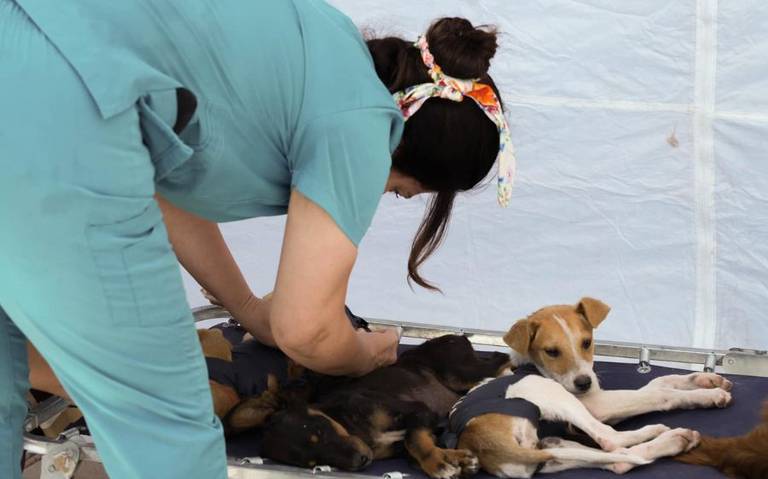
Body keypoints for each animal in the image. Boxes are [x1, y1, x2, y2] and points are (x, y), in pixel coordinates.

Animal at [230, 334, 516, 479]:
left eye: (319, 430)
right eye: (312, 462)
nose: (362, 462)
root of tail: (455, 336)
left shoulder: (418, 410)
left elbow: (413, 438)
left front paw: (437, 463)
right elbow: (416, 449)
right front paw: (454, 459)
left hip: (458, 371)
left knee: (500, 358)